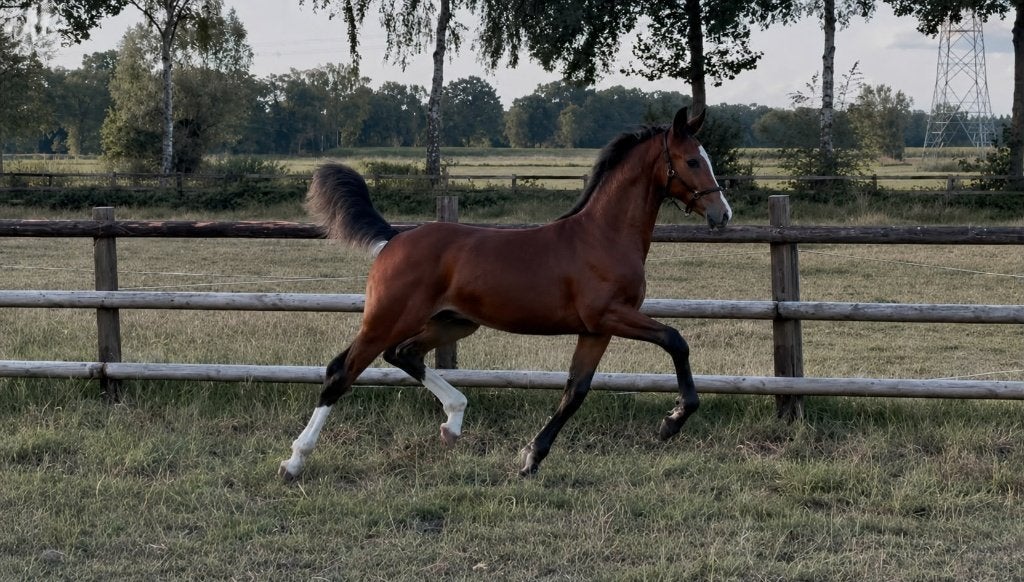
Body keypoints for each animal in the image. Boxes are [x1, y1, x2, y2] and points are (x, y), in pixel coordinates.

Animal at [279, 106, 732, 480]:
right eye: (692, 160)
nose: (722, 214)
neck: (603, 236)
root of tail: (394, 238)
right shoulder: (610, 316)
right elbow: (676, 340)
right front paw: (672, 421)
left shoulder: (594, 330)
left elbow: (575, 391)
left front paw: (531, 457)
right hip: (387, 317)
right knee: (342, 371)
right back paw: (295, 461)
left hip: (454, 323)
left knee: (404, 354)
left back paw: (453, 422)